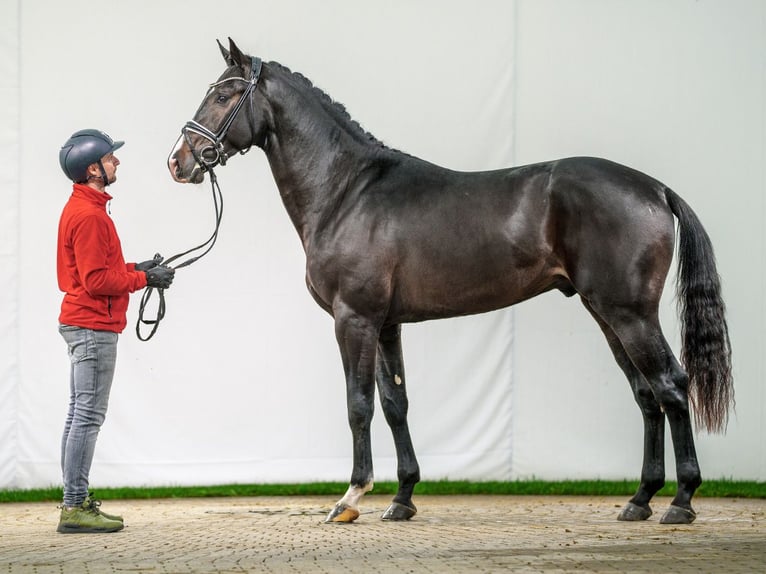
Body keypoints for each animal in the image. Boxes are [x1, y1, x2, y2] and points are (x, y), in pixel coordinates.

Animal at [168, 39, 732, 528]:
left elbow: (358, 405)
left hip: (629, 314)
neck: (347, 192)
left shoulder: (355, 319)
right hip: (606, 315)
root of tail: (655, 189)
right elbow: (395, 405)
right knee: (645, 394)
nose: (179, 161)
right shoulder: (387, 324)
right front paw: (402, 499)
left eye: (223, 94)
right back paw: (640, 500)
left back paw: (681, 500)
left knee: (671, 385)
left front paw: (350, 498)